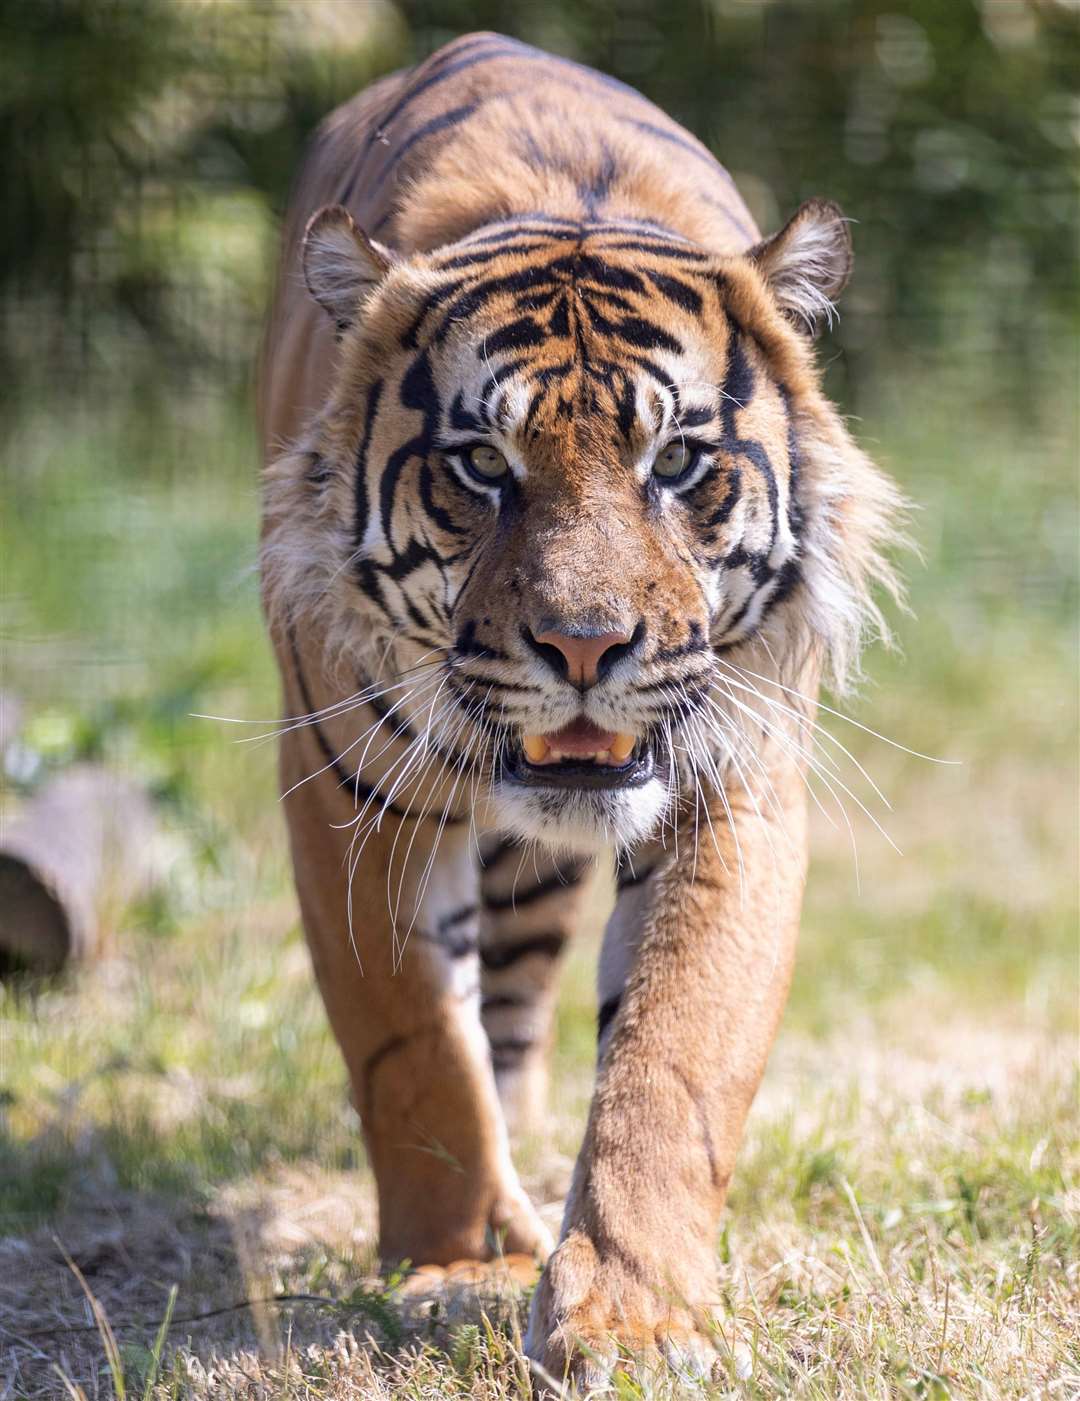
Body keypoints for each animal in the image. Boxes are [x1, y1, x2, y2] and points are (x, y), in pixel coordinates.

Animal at [257, 27, 907, 1384]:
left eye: (677, 461)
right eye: (480, 467)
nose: (585, 645)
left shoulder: (731, 786)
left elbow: (673, 1053)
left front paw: (634, 1316)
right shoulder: (349, 794)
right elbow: (412, 1044)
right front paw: (455, 1266)